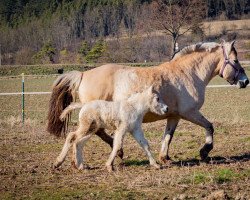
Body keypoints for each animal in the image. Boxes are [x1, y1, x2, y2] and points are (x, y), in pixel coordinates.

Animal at [47, 41, 248, 164]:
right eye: (236, 60)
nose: (245, 81)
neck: (188, 74)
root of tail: (83, 74)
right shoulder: (189, 112)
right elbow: (209, 126)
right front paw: (205, 151)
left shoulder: (174, 116)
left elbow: (168, 136)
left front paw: (164, 157)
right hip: (94, 116)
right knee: (91, 134)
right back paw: (115, 152)